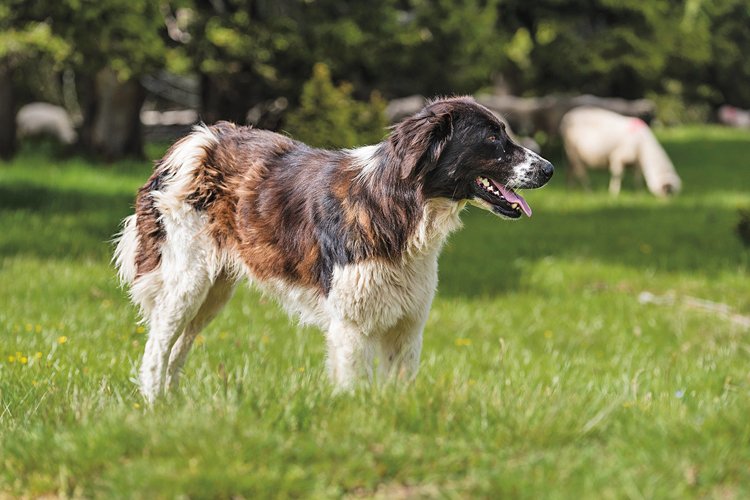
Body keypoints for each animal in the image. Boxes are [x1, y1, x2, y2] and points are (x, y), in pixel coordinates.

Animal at [114, 96, 556, 402]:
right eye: (493, 139)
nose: (550, 169)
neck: (400, 205)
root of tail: (193, 139)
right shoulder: (350, 327)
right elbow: (353, 387)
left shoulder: (407, 325)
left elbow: (399, 389)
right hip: (188, 282)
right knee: (156, 349)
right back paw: (154, 409)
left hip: (213, 292)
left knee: (177, 348)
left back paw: (176, 406)